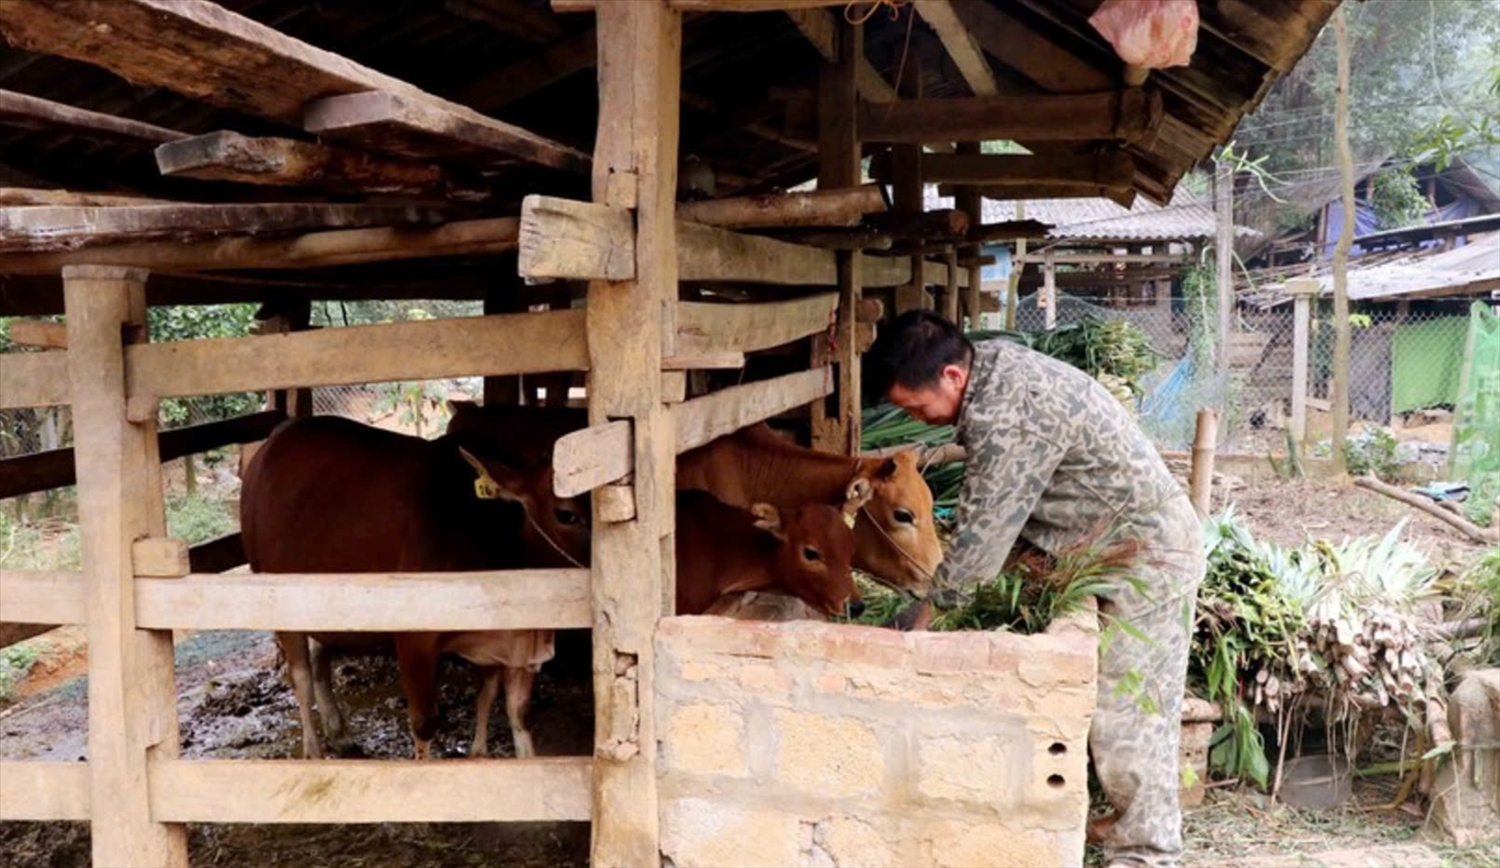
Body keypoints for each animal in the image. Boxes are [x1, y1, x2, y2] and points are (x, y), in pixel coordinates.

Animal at [240, 416, 585, 761]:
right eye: (566, 514)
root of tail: (273, 441)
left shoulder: (514, 646)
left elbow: (513, 711)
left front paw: (481, 754)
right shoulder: (414, 639)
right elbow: (424, 726)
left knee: (318, 659)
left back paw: (339, 734)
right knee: (301, 679)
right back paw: (313, 752)